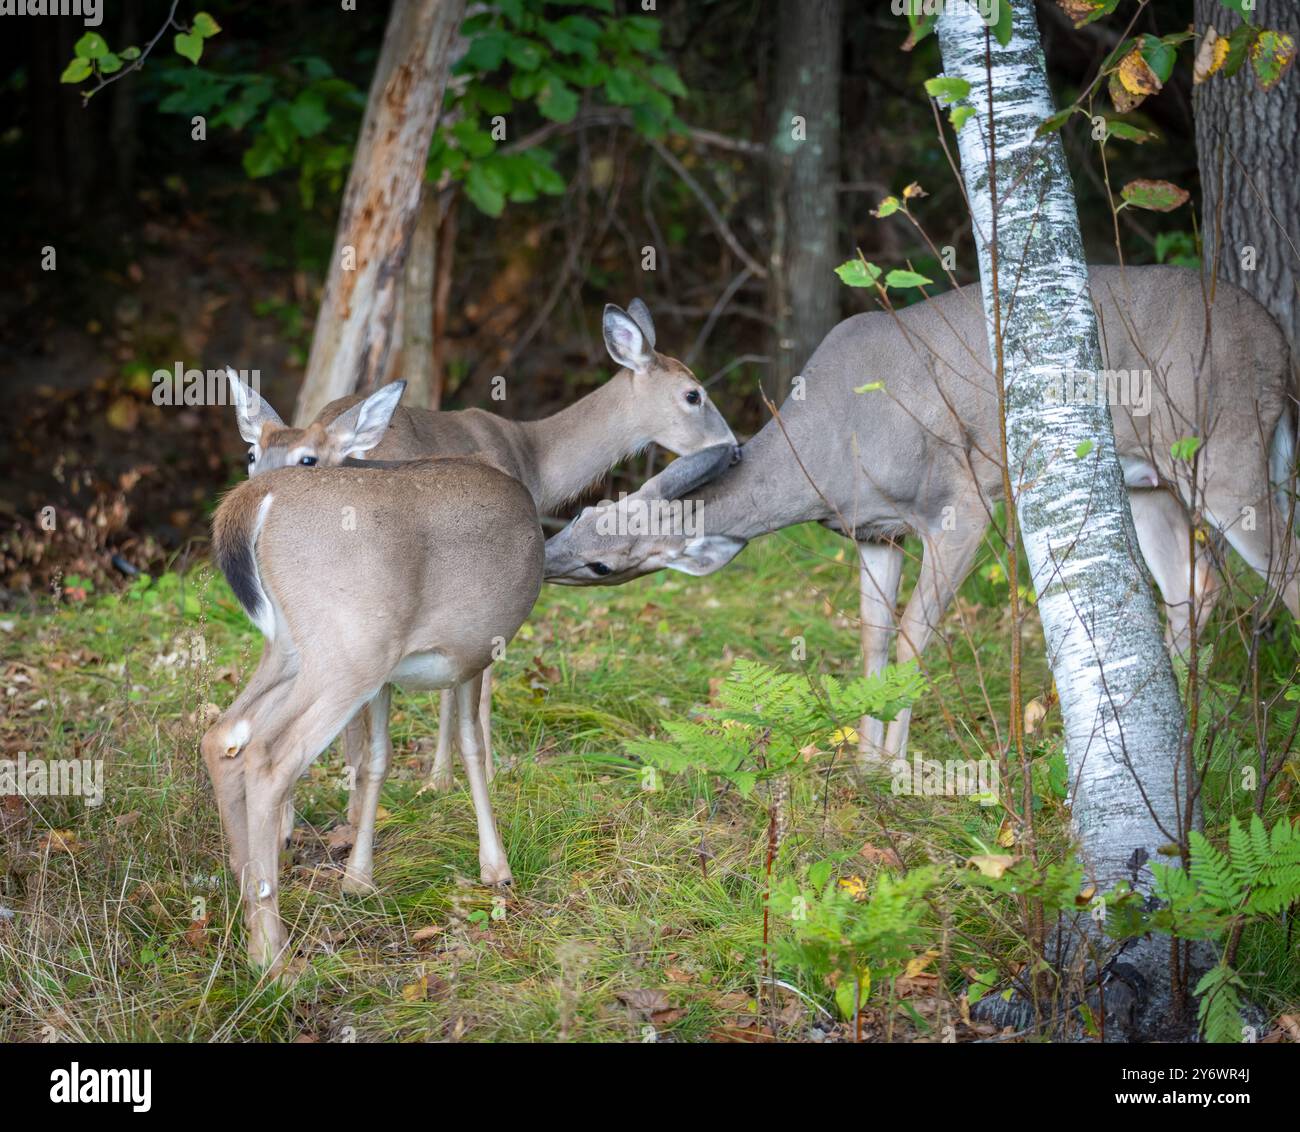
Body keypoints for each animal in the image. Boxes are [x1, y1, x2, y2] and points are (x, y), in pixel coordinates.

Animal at [200, 455, 544, 973]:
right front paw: (496, 867)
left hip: (292, 650)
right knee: (268, 757)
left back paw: (249, 922)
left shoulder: (391, 681)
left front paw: (358, 877)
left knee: (223, 736)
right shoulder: (474, 653)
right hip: (354, 647)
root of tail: (255, 497)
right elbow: (472, 741)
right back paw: (274, 958)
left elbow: (377, 756)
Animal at [223, 299, 738, 891]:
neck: (535, 460)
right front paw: (465, 775)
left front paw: (435, 779)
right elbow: (477, 688)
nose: (733, 446)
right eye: (693, 394)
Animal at [542, 266, 1299, 766]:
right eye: (584, 516)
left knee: (1281, 571)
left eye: (602, 563)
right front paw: (864, 762)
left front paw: (894, 767)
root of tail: (1279, 342)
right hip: (1149, 477)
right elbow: (873, 639)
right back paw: (1170, 734)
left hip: (1226, 446)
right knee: (1193, 586)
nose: (543, 560)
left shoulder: (963, 500)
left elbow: (913, 636)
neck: (831, 447)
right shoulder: (876, 532)